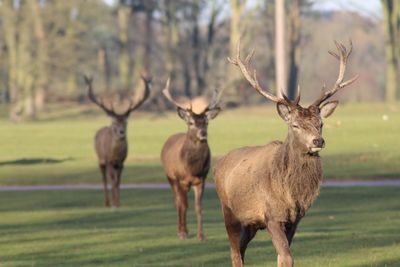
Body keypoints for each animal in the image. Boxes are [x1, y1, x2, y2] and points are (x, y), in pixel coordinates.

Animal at [84, 74, 152, 208]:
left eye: (126, 122)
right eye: (114, 122)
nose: (121, 132)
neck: (115, 155)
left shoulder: (121, 162)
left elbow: (118, 182)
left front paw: (118, 202)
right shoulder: (109, 161)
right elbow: (112, 181)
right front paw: (114, 204)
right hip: (100, 160)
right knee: (104, 179)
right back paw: (106, 203)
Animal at [160, 79, 222, 241]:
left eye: (206, 122)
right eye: (191, 123)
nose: (202, 134)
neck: (192, 169)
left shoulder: (201, 179)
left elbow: (198, 207)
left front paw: (201, 235)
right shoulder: (180, 179)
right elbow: (184, 205)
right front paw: (182, 233)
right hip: (170, 177)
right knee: (178, 201)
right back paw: (181, 230)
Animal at [214, 40, 358, 267]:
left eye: (321, 123)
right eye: (295, 125)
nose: (318, 141)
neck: (291, 195)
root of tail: (218, 164)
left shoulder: (295, 219)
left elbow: (283, 257)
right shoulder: (271, 215)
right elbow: (287, 256)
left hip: (251, 222)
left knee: (241, 248)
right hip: (228, 210)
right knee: (234, 251)